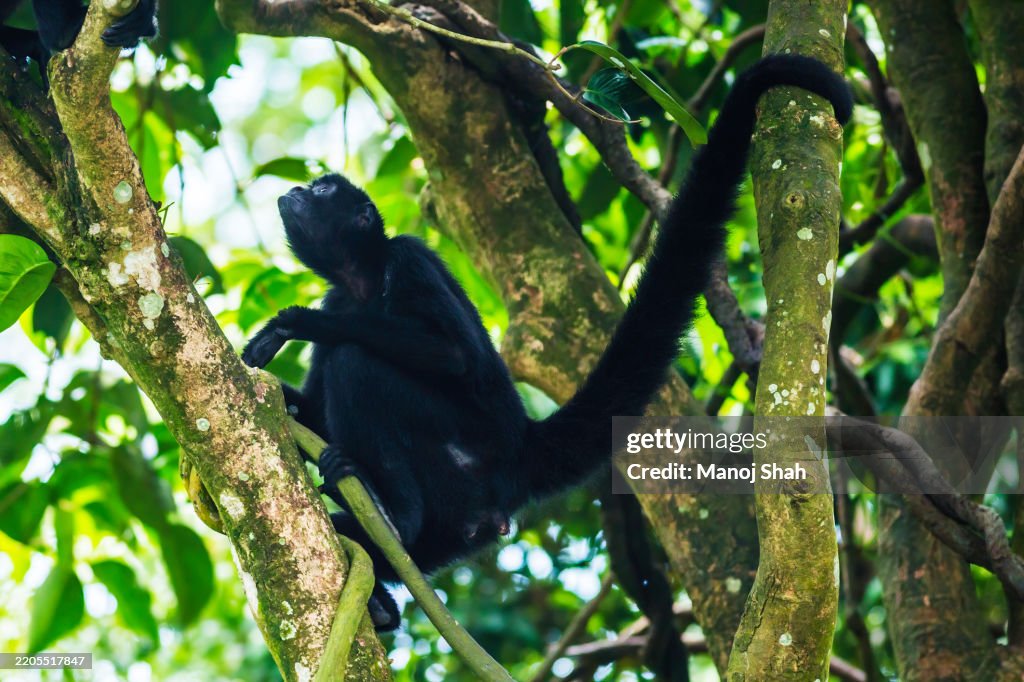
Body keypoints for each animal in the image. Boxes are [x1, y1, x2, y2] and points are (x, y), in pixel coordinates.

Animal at [241, 54, 853, 631]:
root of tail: (520, 448)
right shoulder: (340, 297)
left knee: (358, 366)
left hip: (465, 457)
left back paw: (397, 516)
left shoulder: (409, 259)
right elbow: (316, 408)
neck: (364, 279)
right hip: (463, 516)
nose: (294, 190)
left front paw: (295, 324)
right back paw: (382, 592)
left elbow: (451, 358)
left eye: (321, 189)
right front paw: (277, 395)